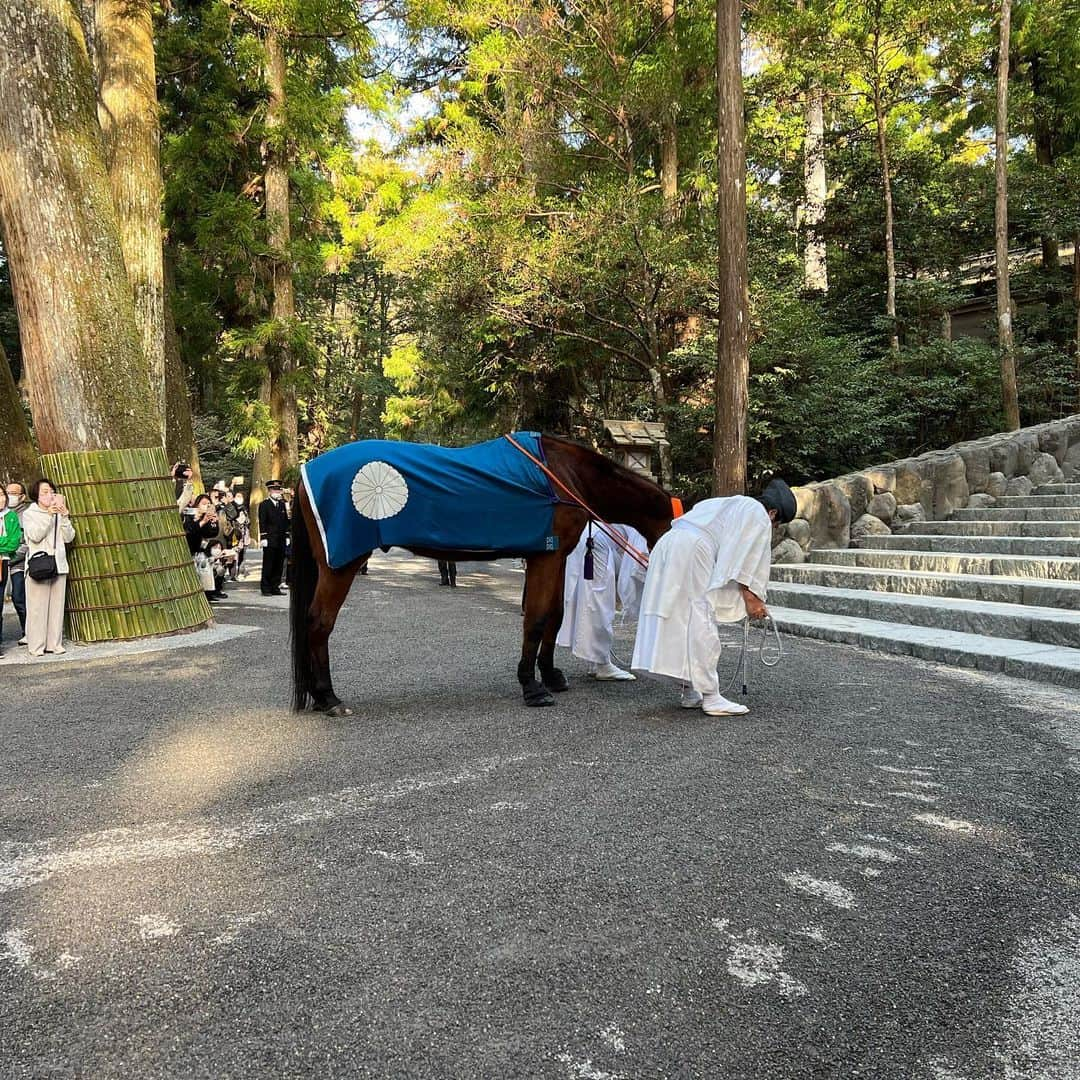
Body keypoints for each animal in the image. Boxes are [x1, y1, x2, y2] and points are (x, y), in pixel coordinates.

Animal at [287, 434, 673, 712]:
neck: (564, 475)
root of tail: (306, 474)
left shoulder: (556, 556)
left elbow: (555, 616)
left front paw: (550, 676)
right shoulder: (544, 558)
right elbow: (535, 619)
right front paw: (531, 687)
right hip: (341, 565)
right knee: (320, 622)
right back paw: (328, 698)